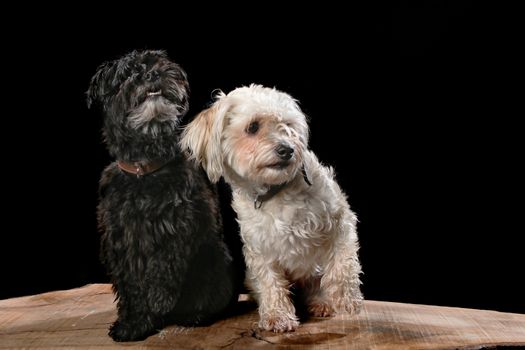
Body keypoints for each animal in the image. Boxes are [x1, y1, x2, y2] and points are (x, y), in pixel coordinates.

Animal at [86, 50, 237, 342]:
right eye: (127, 73)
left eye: (159, 63)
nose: (153, 73)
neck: (145, 170)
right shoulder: (120, 239)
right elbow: (131, 284)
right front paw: (133, 323)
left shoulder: (178, 225)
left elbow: (163, 264)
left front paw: (158, 301)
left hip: (216, 258)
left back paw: (194, 314)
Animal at [180, 84, 360, 330]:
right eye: (253, 127)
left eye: (288, 126)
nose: (288, 149)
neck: (274, 192)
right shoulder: (259, 249)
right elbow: (270, 281)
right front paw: (277, 315)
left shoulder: (341, 220)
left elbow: (342, 265)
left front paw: (346, 299)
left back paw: (321, 301)